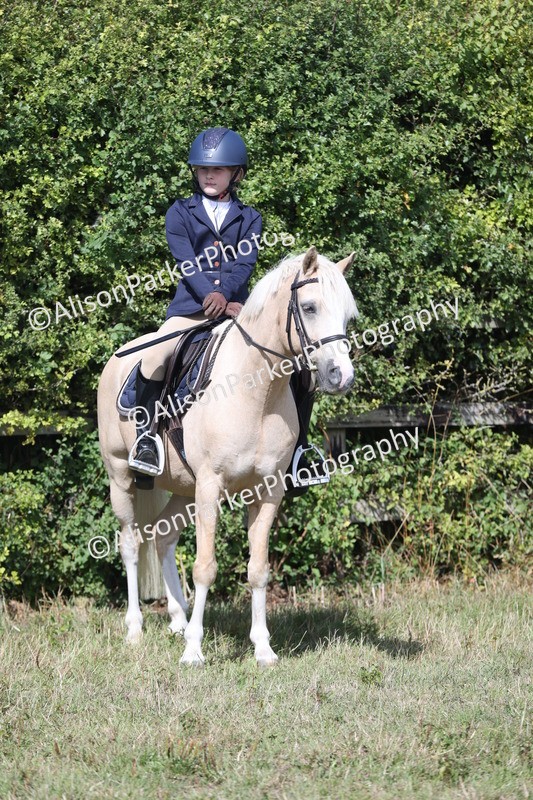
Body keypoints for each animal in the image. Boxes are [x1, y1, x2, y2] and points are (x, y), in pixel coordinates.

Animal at [97, 246, 358, 666]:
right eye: (310, 307)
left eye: (348, 316)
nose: (341, 376)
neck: (256, 393)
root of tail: (116, 359)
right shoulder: (209, 487)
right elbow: (205, 568)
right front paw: (193, 652)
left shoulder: (267, 492)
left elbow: (258, 569)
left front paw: (263, 649)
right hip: (122, 478)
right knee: (131, 545)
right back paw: (136, 629)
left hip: (183, 490)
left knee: (163, 537)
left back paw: (178, 619)